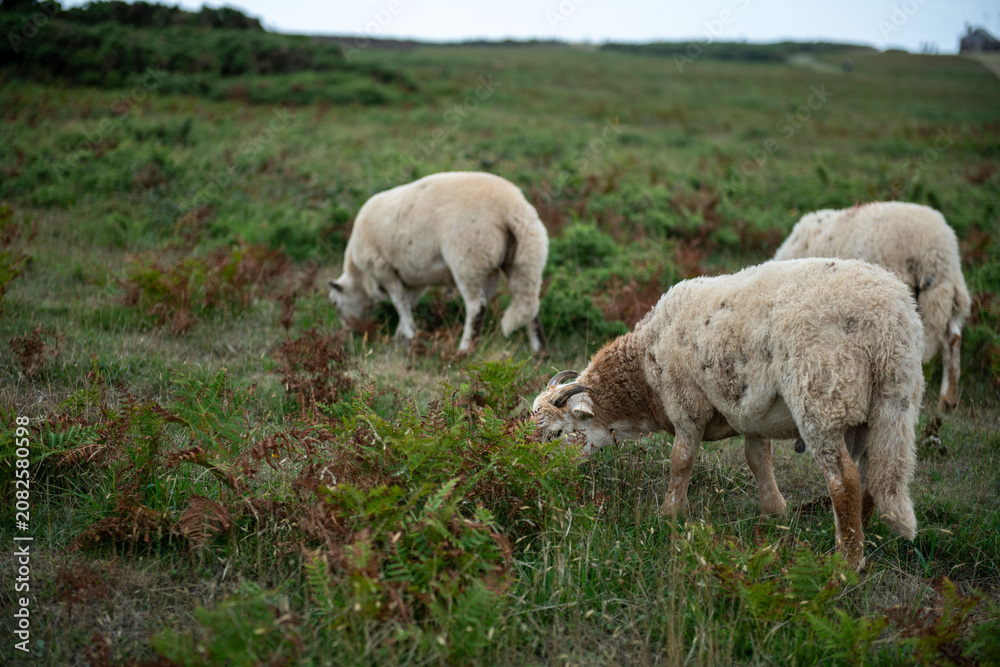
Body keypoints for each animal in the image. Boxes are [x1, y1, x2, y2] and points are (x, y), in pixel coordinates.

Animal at [328, 172, 548, 355]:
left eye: (335, 304)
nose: (349, 333)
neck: (361, 277)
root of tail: (513, 207)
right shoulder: (416, 279)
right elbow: (409, 303)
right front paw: (401, 337)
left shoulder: (384, 270)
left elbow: (400, 303)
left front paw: (408, 336)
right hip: (517, 260)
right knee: (529, 303)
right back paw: (538, 350)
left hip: (468, 259)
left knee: (477, 307)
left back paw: (464, 350)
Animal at [532, 258, 924, 569]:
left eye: (556, 433)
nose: (539, 475)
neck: (644, 369)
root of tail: (889, 321)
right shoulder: (750, 412)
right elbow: (757, 459)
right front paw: (773, 511)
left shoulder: (687, 405)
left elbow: (681, 462)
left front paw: (670, 514)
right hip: (892, 401)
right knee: (872, 472)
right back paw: (864, 534)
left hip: (823, 395)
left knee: (844, 479)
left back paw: (847, 560)